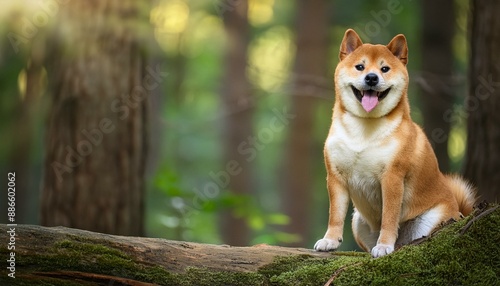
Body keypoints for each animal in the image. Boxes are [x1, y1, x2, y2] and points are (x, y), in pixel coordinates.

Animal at [314, 29, 474, 260]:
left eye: (384, 69)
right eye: (360, 66)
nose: (372, 77)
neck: (364, 129)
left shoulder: (392, 177)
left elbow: (389, 218)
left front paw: (384, 246)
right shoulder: (336, 176)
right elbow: (335, 215)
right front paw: (330, 240)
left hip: (432, 219)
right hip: (358, 222)